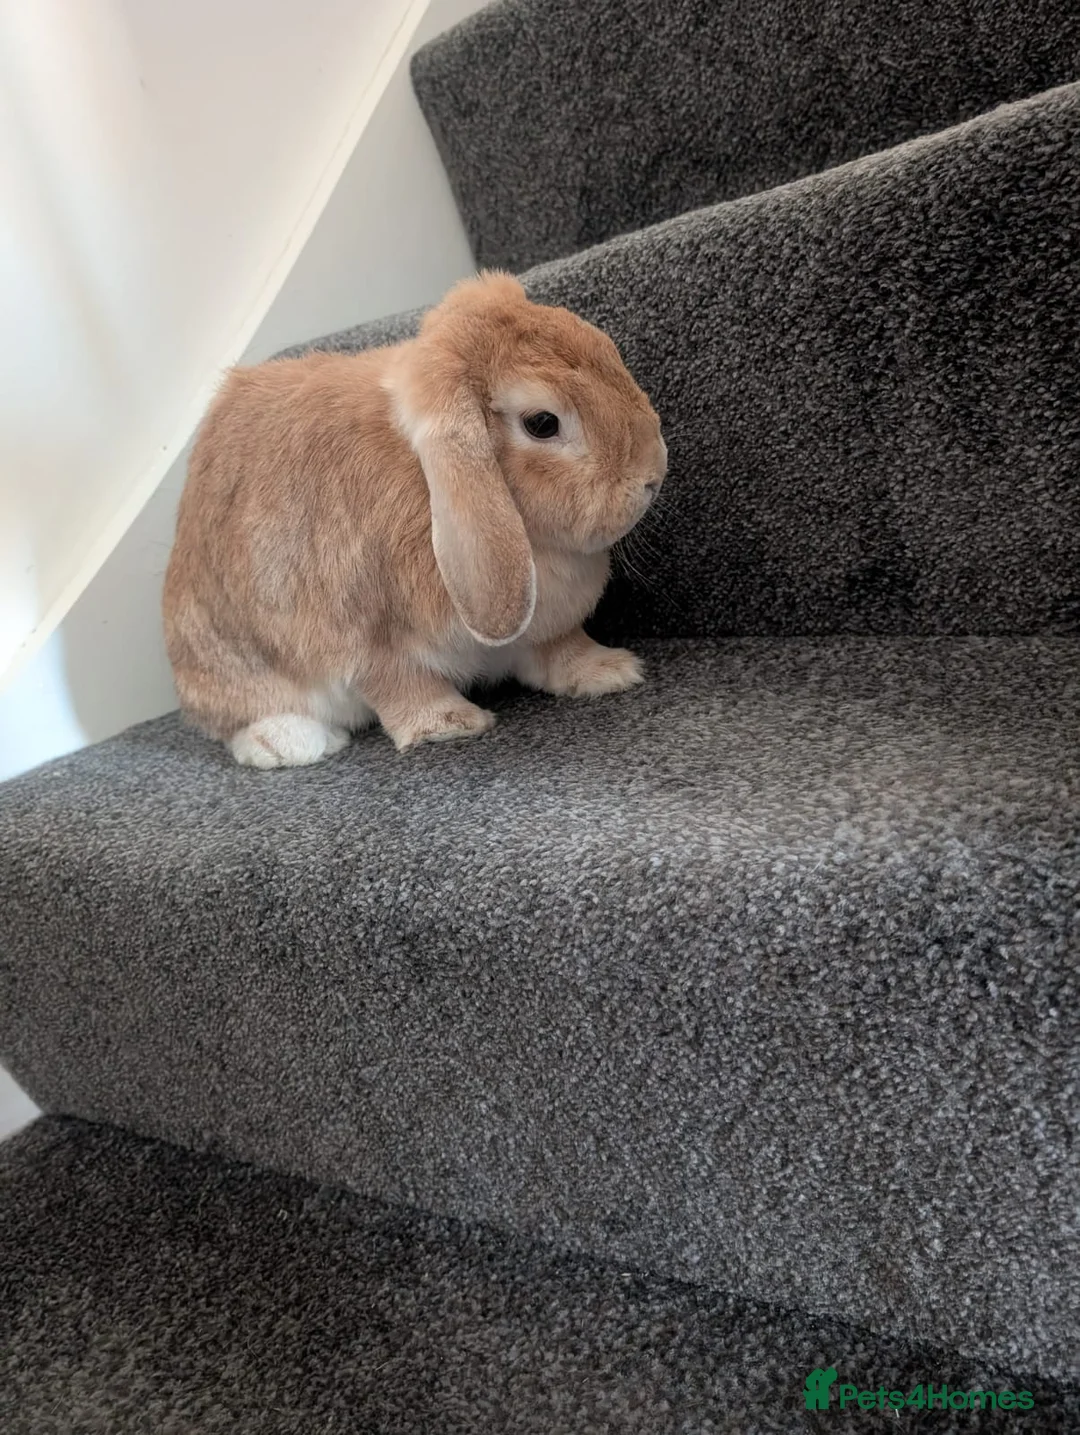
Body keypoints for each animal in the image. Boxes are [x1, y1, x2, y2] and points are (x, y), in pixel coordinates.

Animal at [162, 271, 667, 768]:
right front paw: (449, 724)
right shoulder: (365, 639)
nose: (653, 472)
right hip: (226, 660)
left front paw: (611, 670)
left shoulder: (547, 628)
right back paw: (292, 743)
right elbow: (398, 684)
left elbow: (561, 649)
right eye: (542, 423)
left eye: (604, 347)